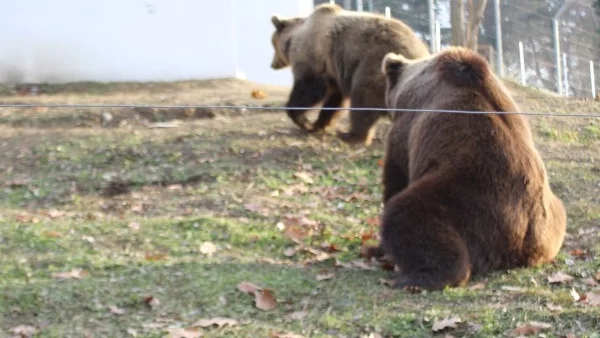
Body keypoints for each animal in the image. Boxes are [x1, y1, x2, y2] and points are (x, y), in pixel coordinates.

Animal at [270, 3, 428, 147]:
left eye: (273, 44)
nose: (272, 64)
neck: (293, 38)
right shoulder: (333, 70)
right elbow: (334, 99)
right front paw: (320, 124)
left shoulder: (314, 55)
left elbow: (310, 87)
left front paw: (304, 122)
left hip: (374, 66)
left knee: (362, 100)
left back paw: (351, 135)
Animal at [366, 46, 568, 290]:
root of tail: (525, 239)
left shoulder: (405, 133)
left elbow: (395, 178)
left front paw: (377, 248)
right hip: (552, 217)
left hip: (470, 202)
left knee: (408, 212)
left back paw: (417, 277)